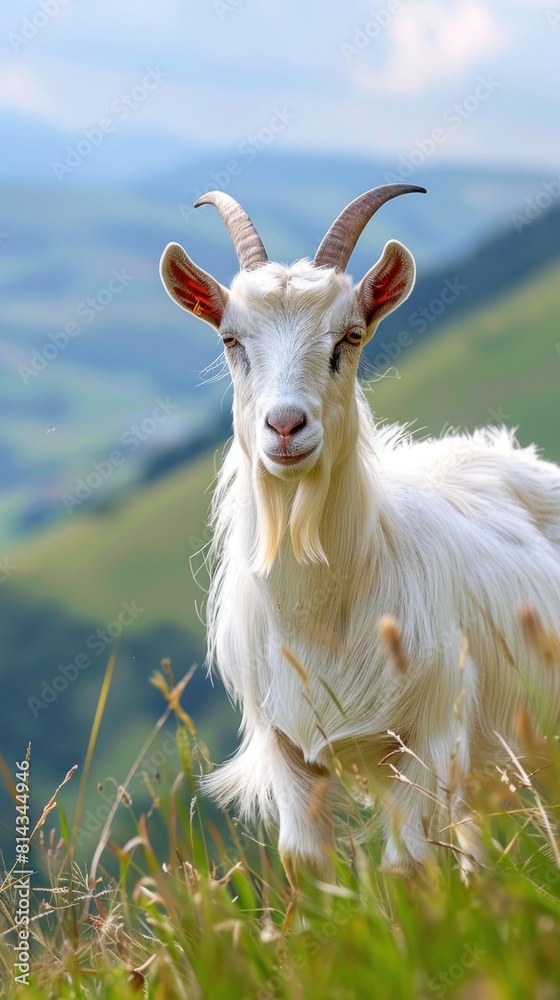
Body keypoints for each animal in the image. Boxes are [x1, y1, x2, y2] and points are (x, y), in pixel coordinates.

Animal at [160, 186, 560, 882]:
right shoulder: (287, 742)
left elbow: (408, 866)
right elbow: (304, 862)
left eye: (349, 337)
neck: (322, 617)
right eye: (232, 339)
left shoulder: (428, 733)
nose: (286, 426)